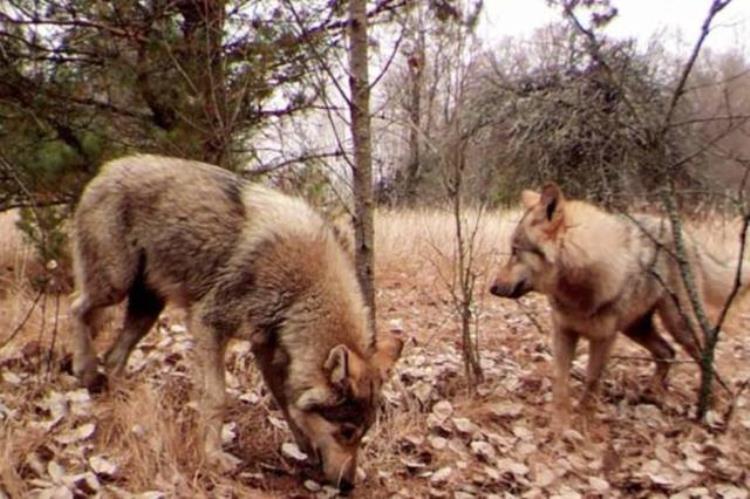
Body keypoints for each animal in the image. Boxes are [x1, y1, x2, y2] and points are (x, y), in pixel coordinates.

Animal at [69, 155, 406, 492]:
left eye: (363, 434)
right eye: (347, 431)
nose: (348, 485)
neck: (303, 292)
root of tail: (109, 167)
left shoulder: (266, 350)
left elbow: (288, 405)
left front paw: (306, 450)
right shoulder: (208, 324)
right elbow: (217, 398)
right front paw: (213, 457)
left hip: (147, 308)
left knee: (113, 355)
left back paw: (121, 399)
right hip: (115, 286)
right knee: (75, 308)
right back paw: (85, 369)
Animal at [490, 184, 748, 426]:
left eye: (515, 251)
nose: (492, 287)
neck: (579, 288)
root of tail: (684, 233)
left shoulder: (604, 338)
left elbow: (592, 382)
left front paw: (583, 423)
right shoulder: (563, 332)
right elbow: (560, 382)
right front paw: (558, 426)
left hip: (677, 324)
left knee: (704, 355)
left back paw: (712, 404)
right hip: (636, 328)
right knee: (667, 352)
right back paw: (651, 393)